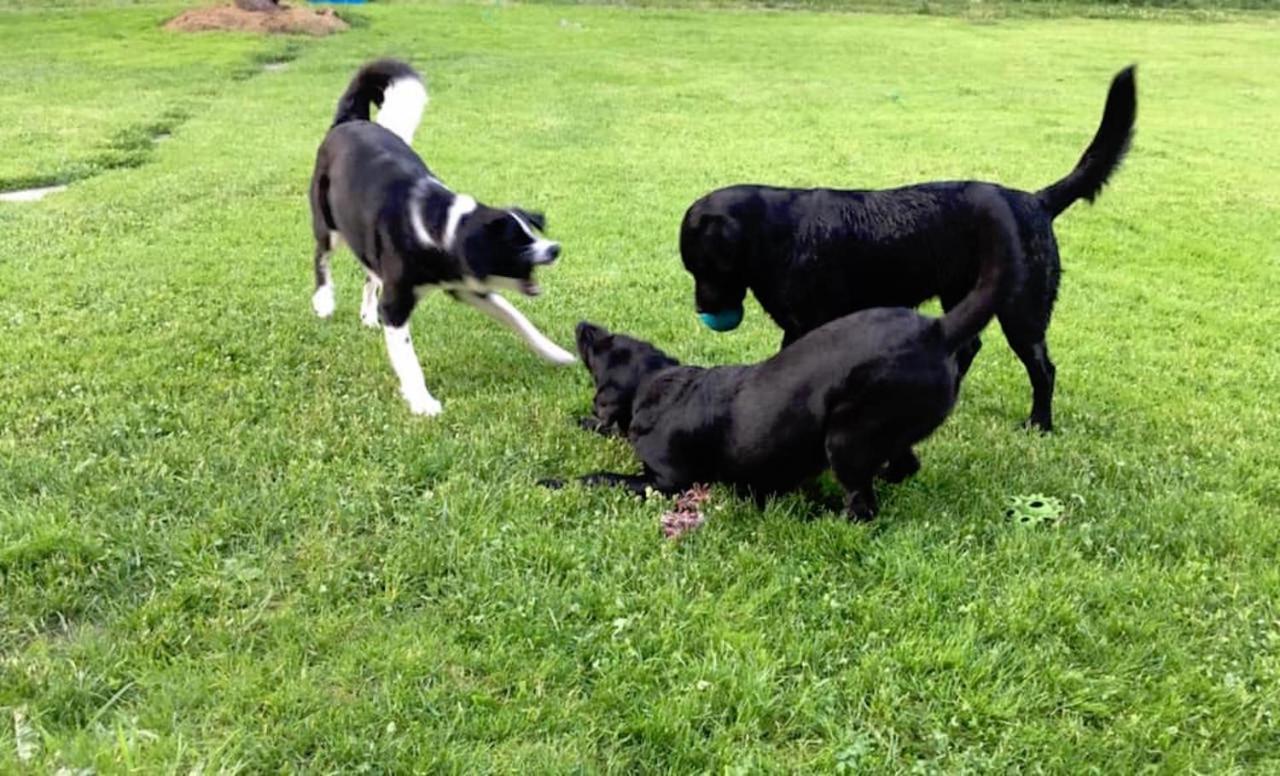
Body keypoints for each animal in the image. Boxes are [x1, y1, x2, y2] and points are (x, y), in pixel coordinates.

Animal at [307, 59, 573, 420]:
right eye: (516, 243)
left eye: (531, 232)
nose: (555, 249)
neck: (442, 227)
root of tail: (350, 121)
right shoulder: (397, 305)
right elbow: (409, 360)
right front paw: (423, 402)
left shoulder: (467, 286)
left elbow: (517, 319)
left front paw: (555, 353)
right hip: (329, 223)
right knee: (321, 257)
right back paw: (324, 301)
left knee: (369, 273)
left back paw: (367, 315)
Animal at [555, 185, 1024, 519]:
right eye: (611, 334)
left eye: (601, 345)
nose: (583, 324)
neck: (655, 384)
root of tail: (937, 331)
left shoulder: (669, 481)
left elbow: (605, 476)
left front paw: (556, 481)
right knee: (904, 466)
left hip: (847, 434)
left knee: (864, 508)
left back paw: (824, 513)